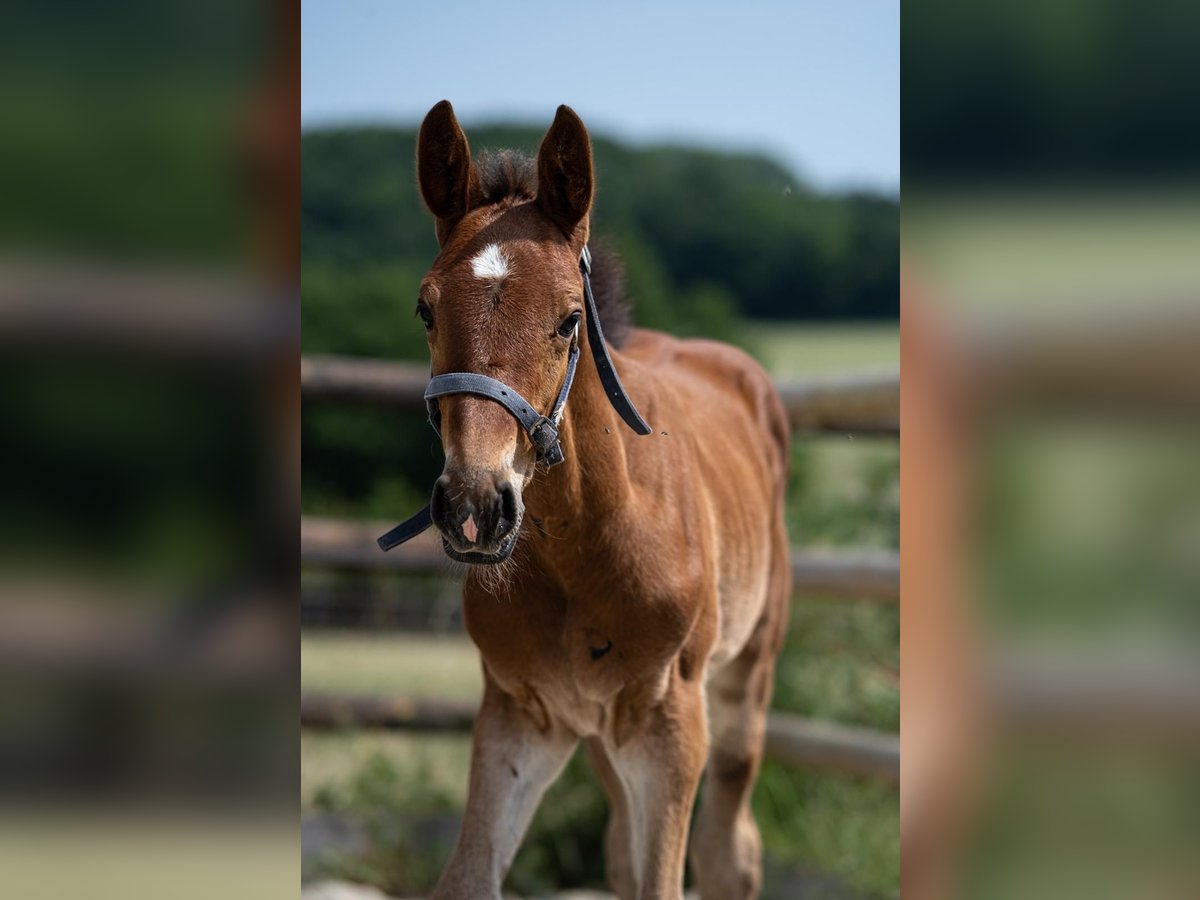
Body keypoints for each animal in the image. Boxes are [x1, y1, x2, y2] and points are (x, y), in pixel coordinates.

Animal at [396, 100, 790, 900]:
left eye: (569, 318)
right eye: (425, 310)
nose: (474, 503)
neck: (586, 544)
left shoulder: (672, 724)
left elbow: (666, 880)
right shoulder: (520, 715)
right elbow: (469, 877)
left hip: (744, 677)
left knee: (728, 850)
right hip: (603, 734)